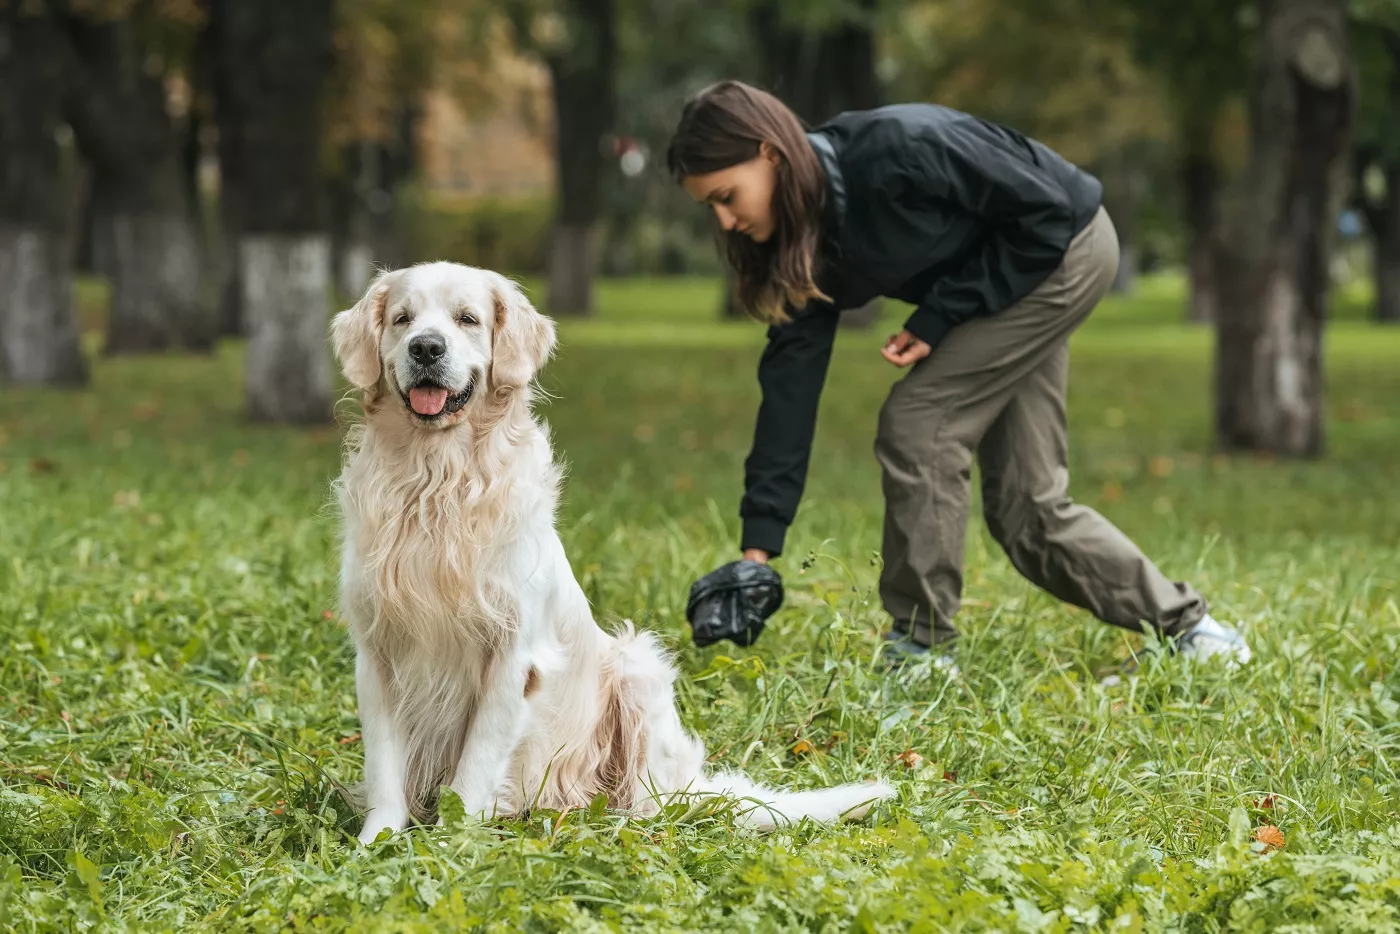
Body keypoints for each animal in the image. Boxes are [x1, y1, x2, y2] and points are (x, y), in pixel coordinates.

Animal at [333, 259, 890, 845]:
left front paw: (448, 842)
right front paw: (376, 843)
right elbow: (385, 768)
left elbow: (474, 769)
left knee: (653, 802)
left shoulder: (513, 655)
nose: (426, 348)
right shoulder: (377, 652)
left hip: (637, 668)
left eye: (467, 319)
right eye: (402, 319)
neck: (436, 482)